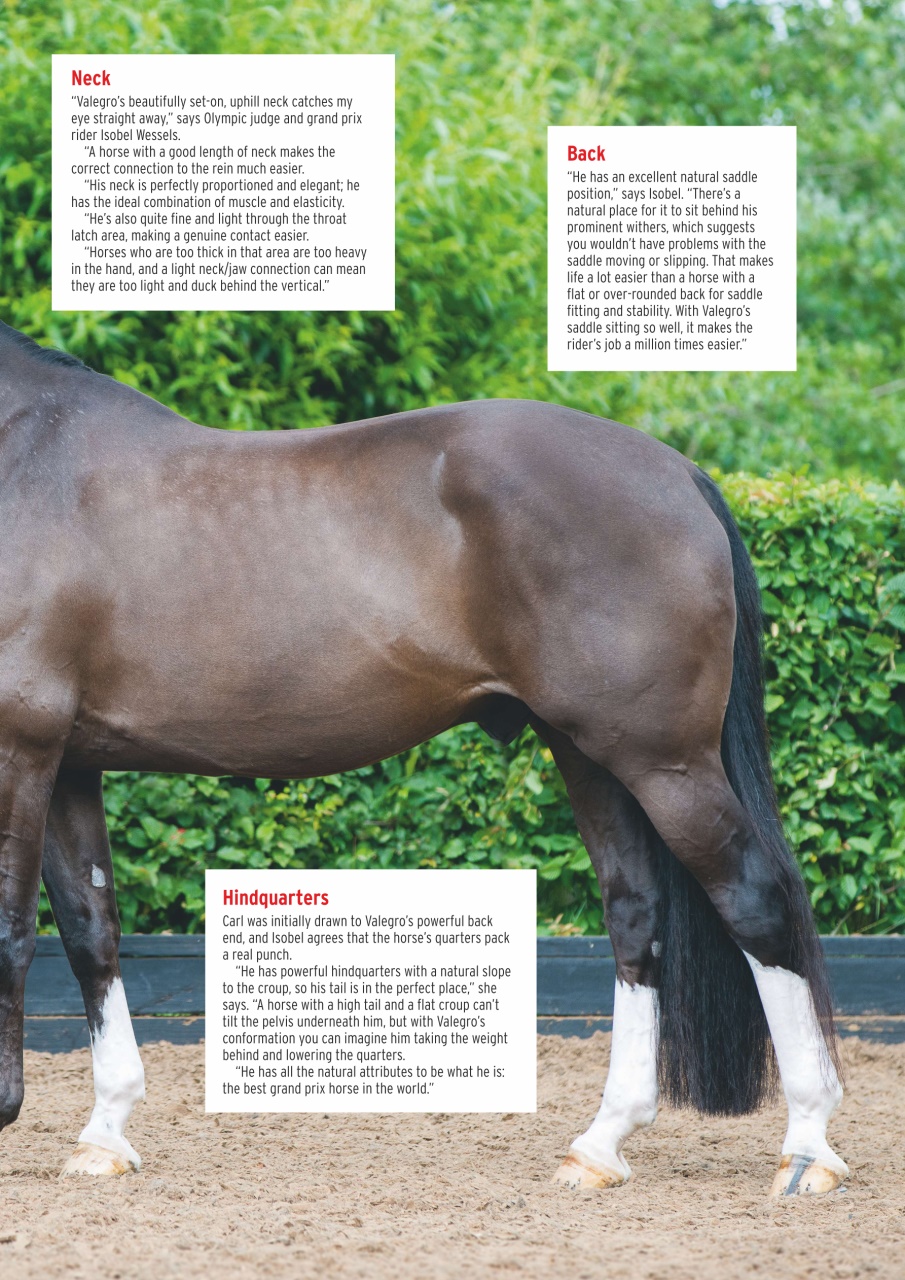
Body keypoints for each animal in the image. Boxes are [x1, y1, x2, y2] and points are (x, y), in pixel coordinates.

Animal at [0, 320, 845, 1194]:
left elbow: (12, 926)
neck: (20, 451)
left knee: (756, 900)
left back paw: (807, 1146)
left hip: (664, 761)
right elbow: (89, 930)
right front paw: (104, 1134)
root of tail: (679, 473)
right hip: (593, 755)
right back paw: (601, 1142)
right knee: (635, 914)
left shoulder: (19, 741)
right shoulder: (67, 761)